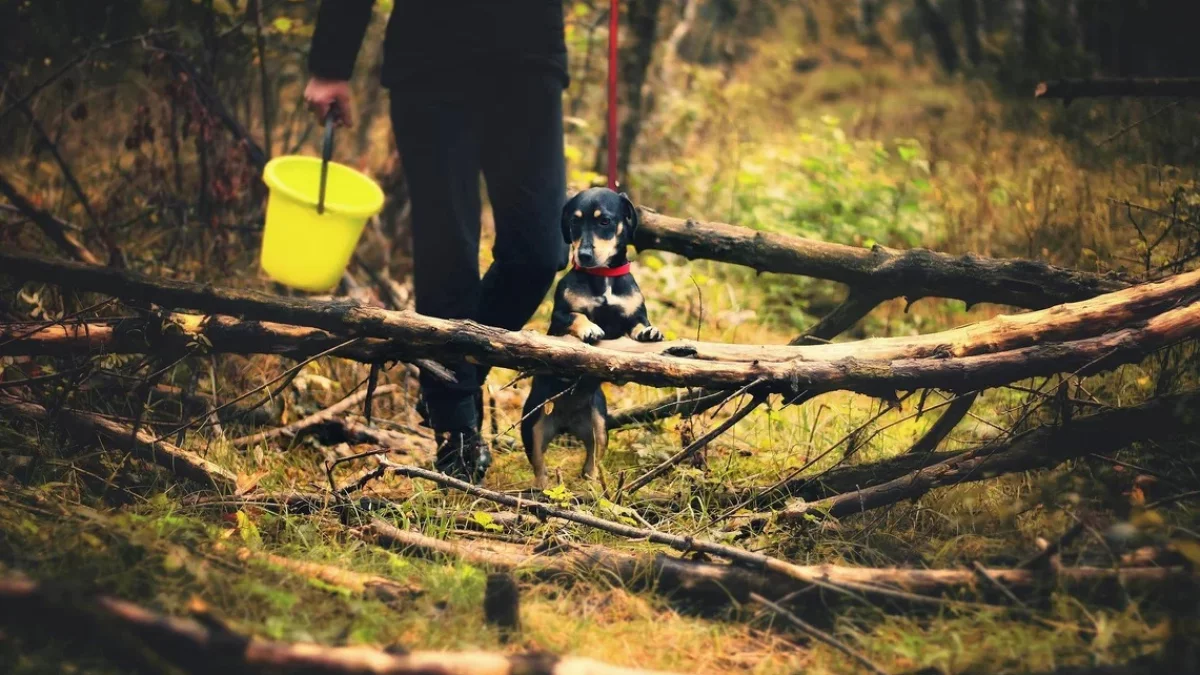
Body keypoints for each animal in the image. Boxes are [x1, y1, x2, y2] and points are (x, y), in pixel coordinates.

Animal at [518, 186, 667, 485]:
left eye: (604, 221)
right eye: (574, 222)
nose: (584, 255)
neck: (603, 276)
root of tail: (565, 424)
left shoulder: (633, 315)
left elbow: (637, 325)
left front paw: (649, 332)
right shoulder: (560, 318)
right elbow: (577, 316)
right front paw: (590, 328)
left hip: (599, 425)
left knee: (591, 462)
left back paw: (593, 483)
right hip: (533, 425)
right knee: (539, 465)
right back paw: (540, 488)